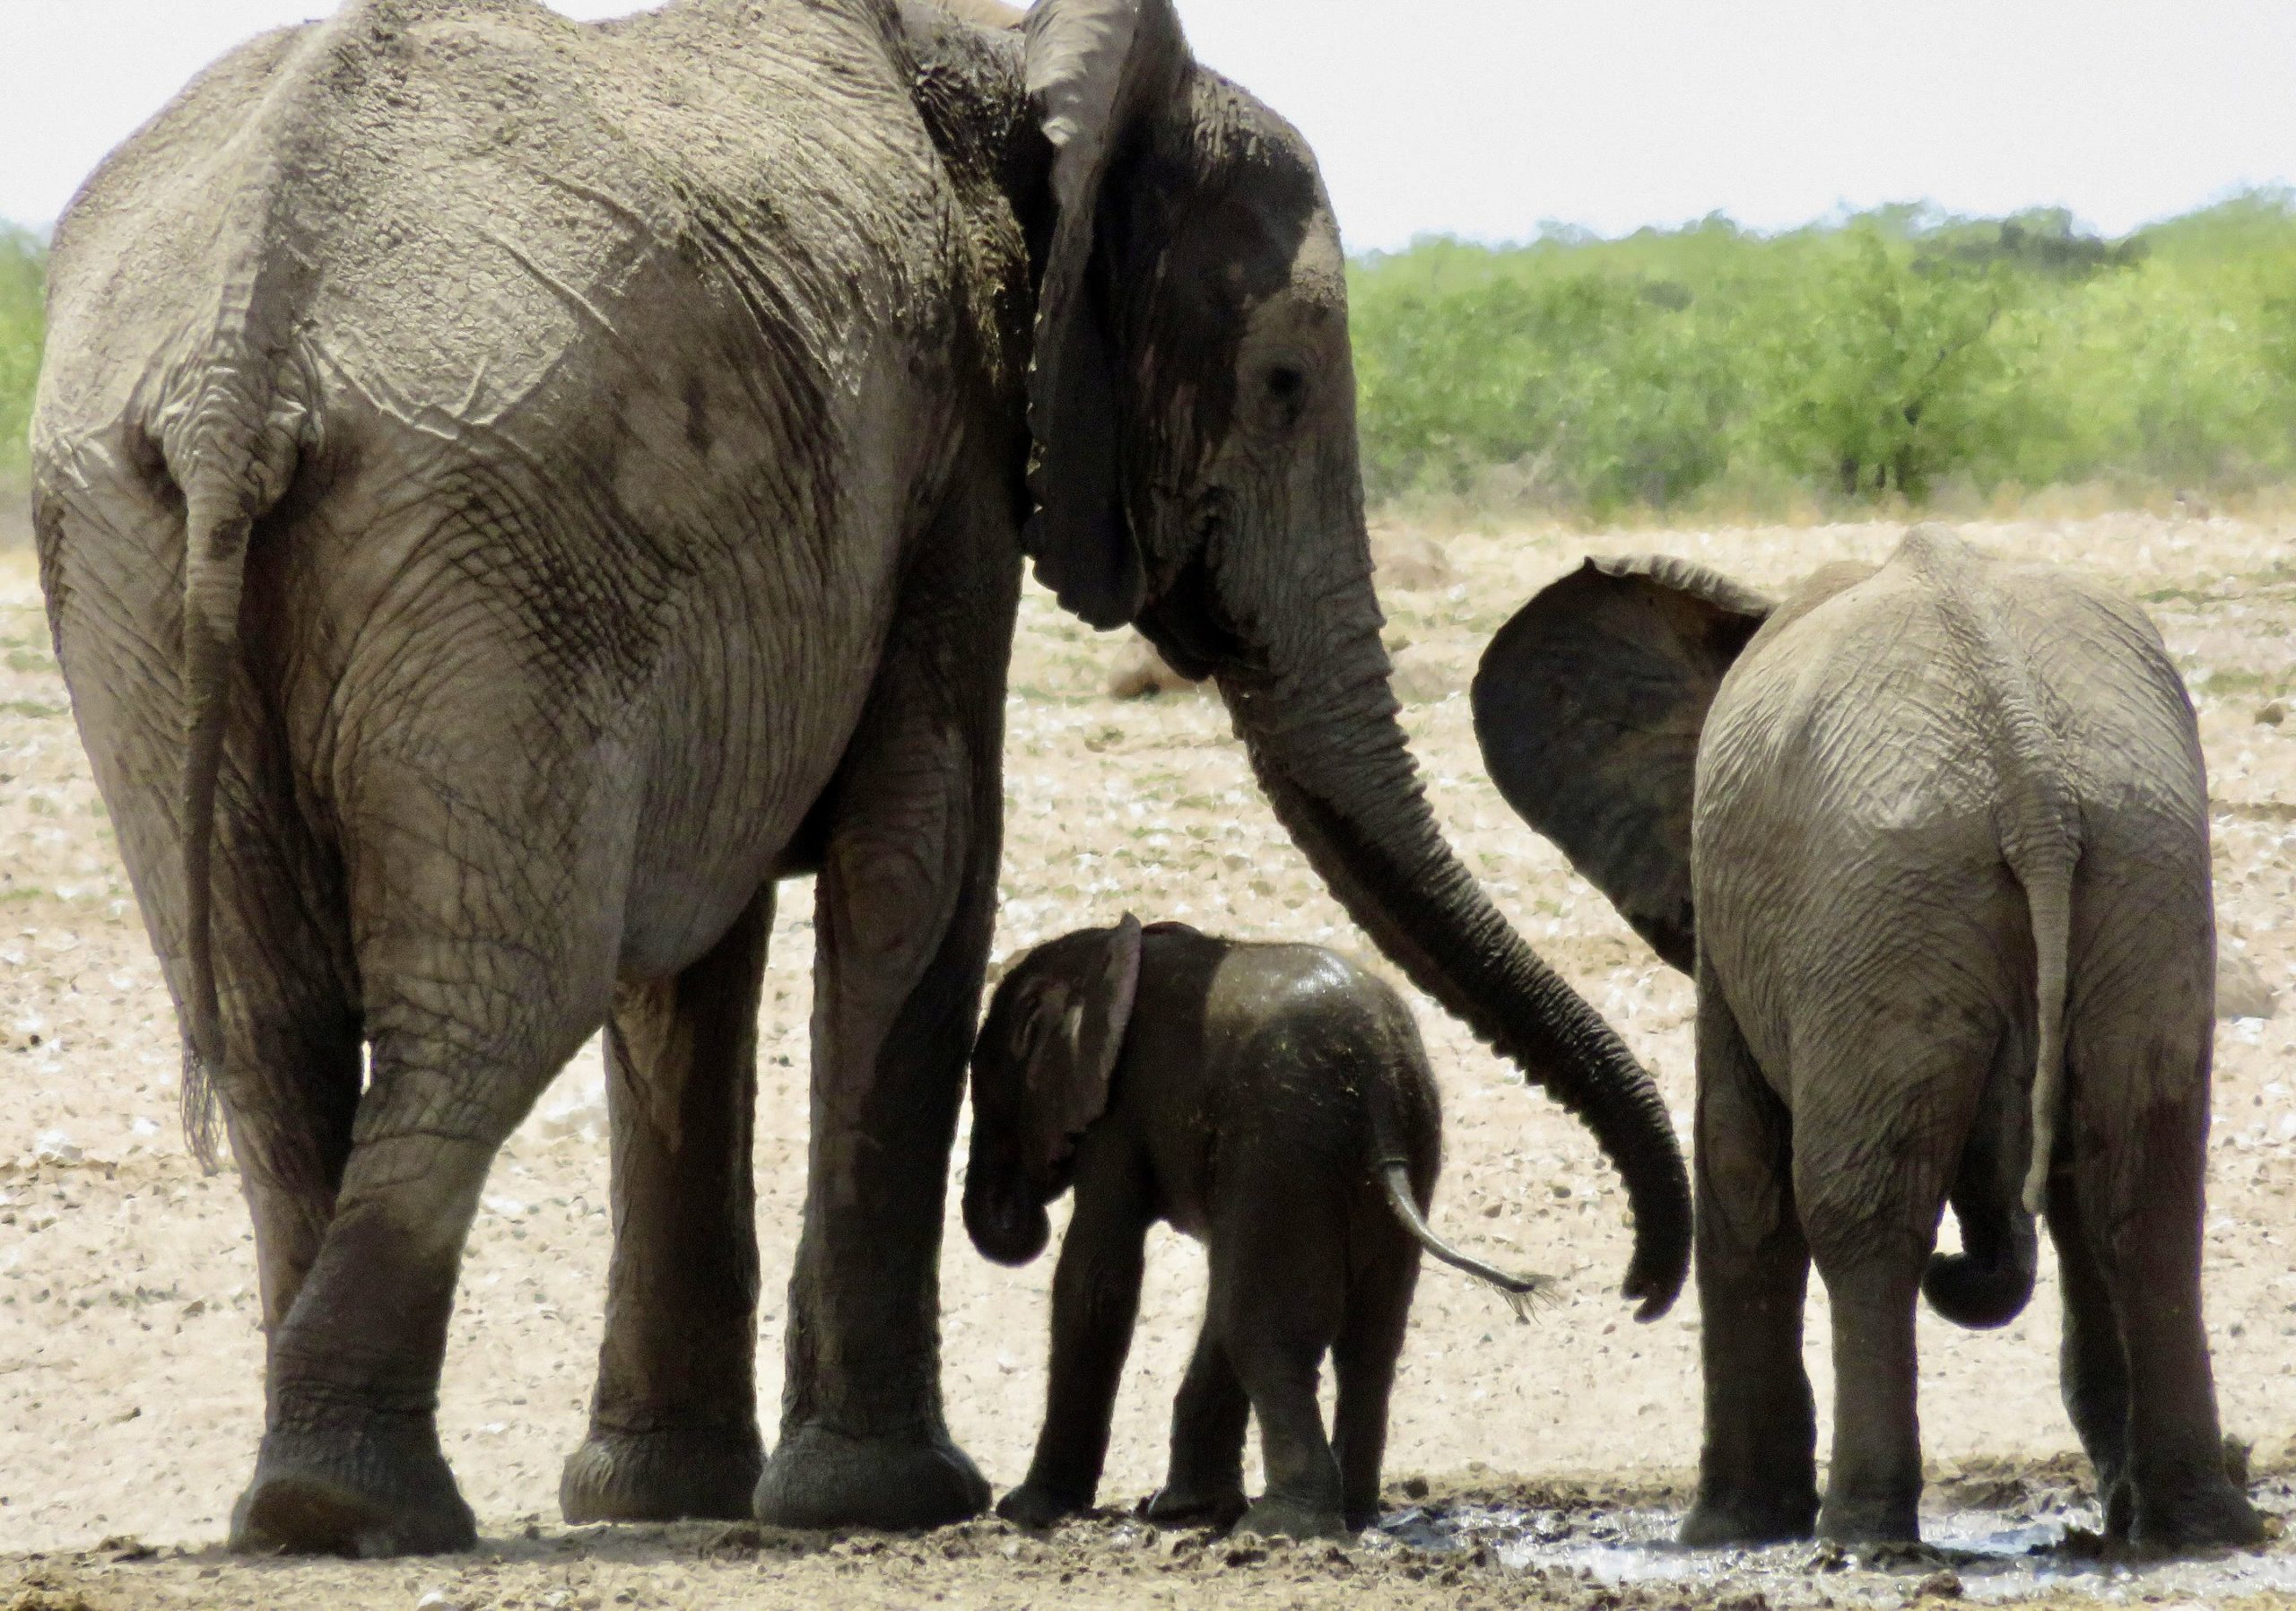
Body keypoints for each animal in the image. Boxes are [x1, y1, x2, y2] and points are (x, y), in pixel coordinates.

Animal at [969, 922, 1543, 1542]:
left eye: (989, 1099)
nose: (1024, 1209)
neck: (1103, 950)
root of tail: (1375, 1084)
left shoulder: (1118, 1114)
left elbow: (1097, 1280)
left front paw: (1027, 1512)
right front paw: (1185, 1511)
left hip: (1285, 1141)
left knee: (1263, 1328)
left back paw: (1280, 1527)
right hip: (1402, 1140)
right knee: (1367, 1340)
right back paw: (1352, 1515)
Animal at [1469, 527, 2259, 1551]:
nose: (1973, 1257)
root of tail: (2034, 787)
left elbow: (1739, 1165)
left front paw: (1724, 1533)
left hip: (1887, 903)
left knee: (1865, 1210)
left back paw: (1862, 1536)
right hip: (2135, 876)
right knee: (2142, 1189)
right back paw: (2200, 1528)